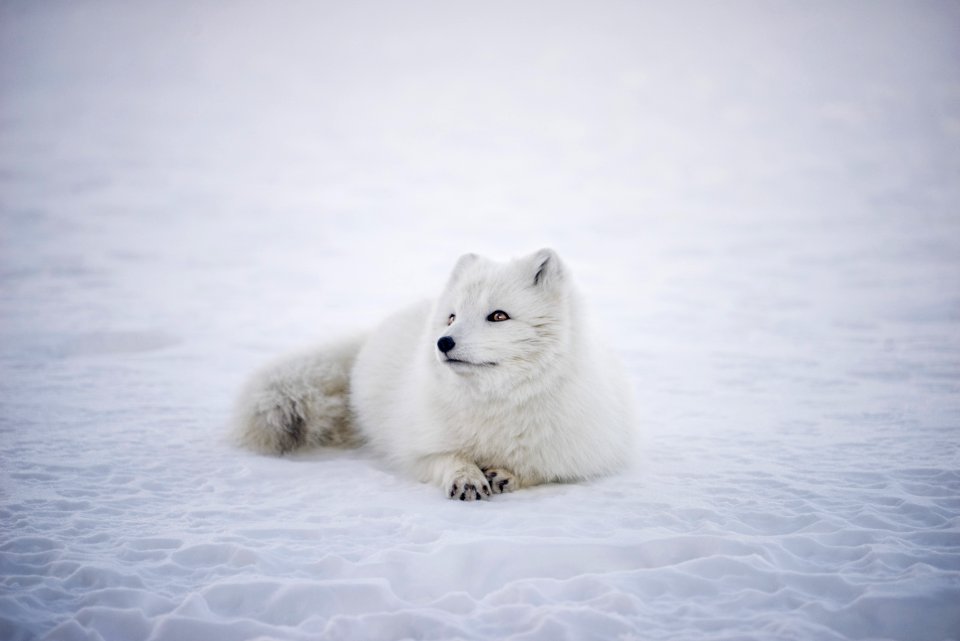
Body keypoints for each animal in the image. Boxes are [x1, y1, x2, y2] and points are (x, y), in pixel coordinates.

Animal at [232, 249, 636, 500]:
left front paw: (507, 474)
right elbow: (445, 458)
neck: (494, 404)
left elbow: (542, 469)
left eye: (498, 316)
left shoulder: (580, 455)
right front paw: (466, 477)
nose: (443, 342)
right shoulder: (415, 448)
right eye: (452, 317)